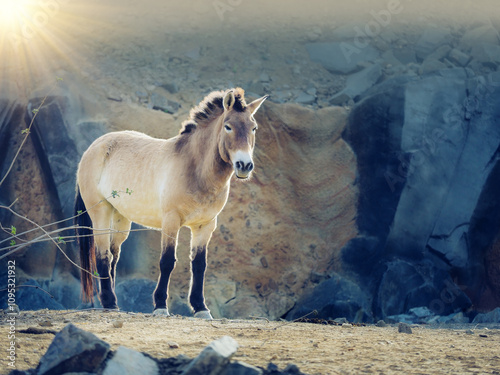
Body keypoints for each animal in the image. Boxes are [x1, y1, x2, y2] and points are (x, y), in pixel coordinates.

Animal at [73, 89, 266, 320]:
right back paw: (109, 303)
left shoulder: (205, 225)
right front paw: (160, 306)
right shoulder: (171, 221)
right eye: (228, 126)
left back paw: (112, 302)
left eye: (253, 128)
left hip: (120, 219)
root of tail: (92, 149)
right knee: (102, 255)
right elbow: (167, 261)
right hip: (100, 213)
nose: (244, 165)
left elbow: (199, 265)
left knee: (113, 257)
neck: (195, 169)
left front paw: (201, 307)